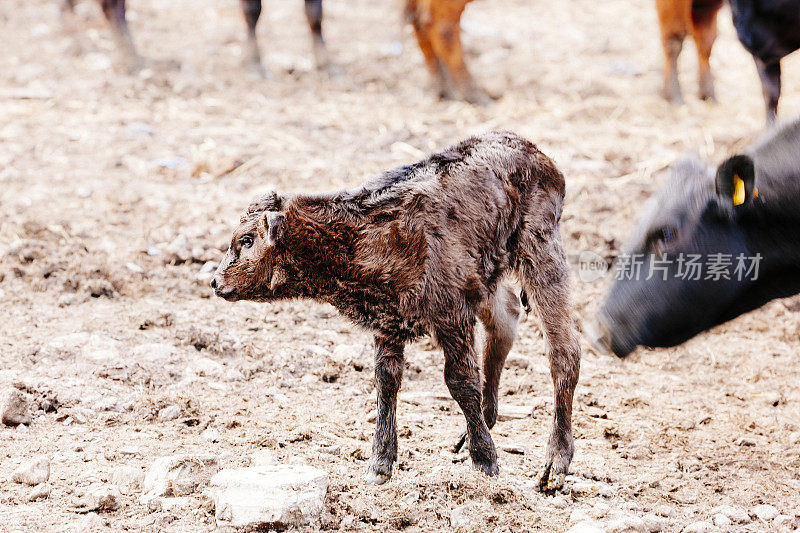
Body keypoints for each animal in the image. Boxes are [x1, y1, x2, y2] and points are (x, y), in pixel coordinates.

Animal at [61, 0, 326, 75]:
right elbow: (253, 10)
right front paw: (253, 63)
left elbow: (315, 12)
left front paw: (325, 63)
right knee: (112, 6)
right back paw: (132, 61)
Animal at [209, 133, 580, 490]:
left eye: (246, 240)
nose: (214, 281)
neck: (367, 237)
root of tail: (534, 152)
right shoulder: (388, 322)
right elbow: (386, 382)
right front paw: (379, 466)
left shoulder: (452, 315)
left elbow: (460, 381)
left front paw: (485, 462)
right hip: (488, 277)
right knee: (506, 322)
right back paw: (477, 431)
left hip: (541, 252)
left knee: (564, 351)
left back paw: (554, 465)